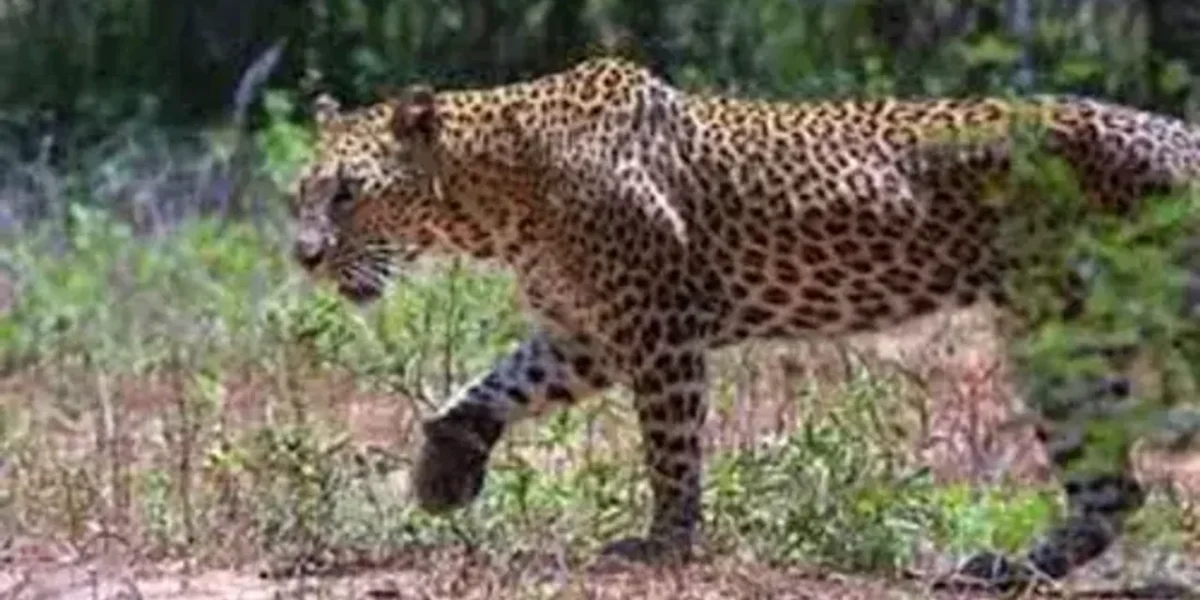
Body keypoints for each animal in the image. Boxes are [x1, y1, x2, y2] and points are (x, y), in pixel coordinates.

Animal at [288, 56, 1200, 590]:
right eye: (299, 191)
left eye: (349, 192)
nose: (302, 256)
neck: (499, 189)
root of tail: (1179, 134)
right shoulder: (587, 332)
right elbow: (496, 385)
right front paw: (444, 471)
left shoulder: (659, 327)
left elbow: (671, 449)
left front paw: (665, 544)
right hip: (1059, 337)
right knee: (1112, 490)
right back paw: (999, 570)